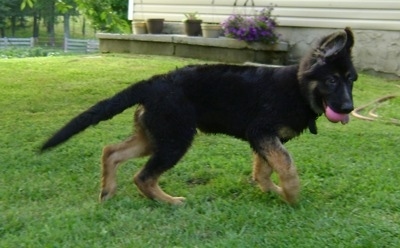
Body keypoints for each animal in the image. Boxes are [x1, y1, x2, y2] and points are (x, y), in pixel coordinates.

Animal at [42, 27, 358, 205]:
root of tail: (154, 82)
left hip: (155, 135)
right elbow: (287, 166)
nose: (348, 109)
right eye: (331, 80)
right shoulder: (261, 132)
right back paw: (170, 202)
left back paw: (108, 191)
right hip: (175, 139)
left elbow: (264, 170)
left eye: (351, 80)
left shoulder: (263, 139)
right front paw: (291, 196)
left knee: (111, 151)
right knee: (142, 177)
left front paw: (273, 191)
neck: (298, 89)